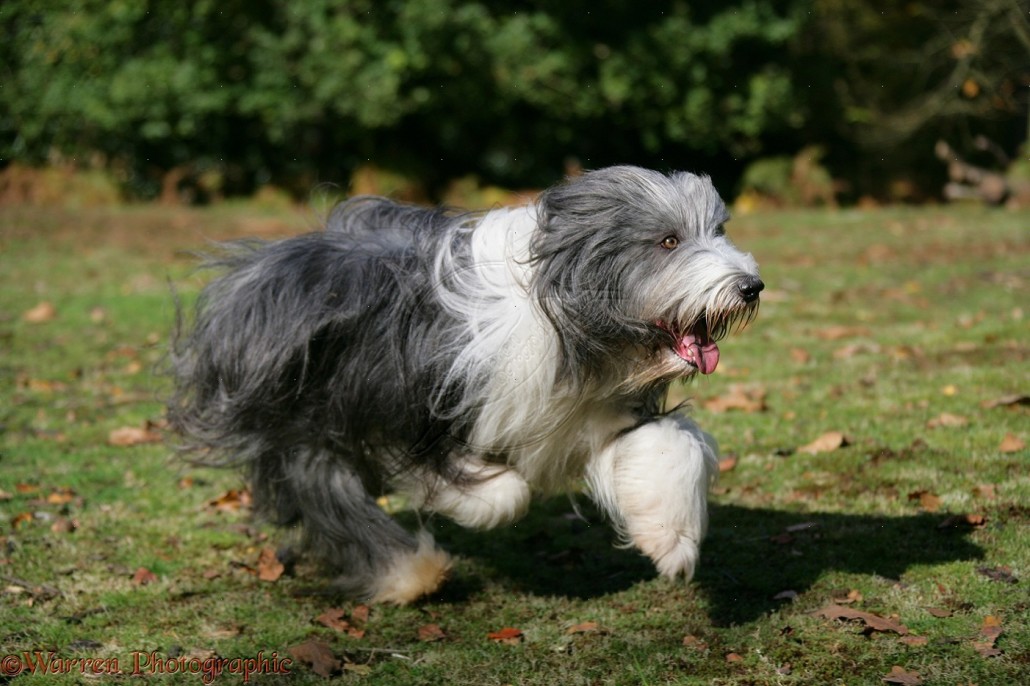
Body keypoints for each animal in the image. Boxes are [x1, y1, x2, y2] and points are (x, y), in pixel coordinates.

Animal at [170, 164, 766, 597]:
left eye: (717, 231)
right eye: (668, 241)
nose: (751, 286)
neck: (565, 315)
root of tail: (256, 270)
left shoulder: (597, 410)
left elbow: (670, 446)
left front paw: (672, 543)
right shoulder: (421, 400)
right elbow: (499, 492)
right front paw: (479, 497)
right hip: (303, 415)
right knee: (322, 486)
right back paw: (411, 574)